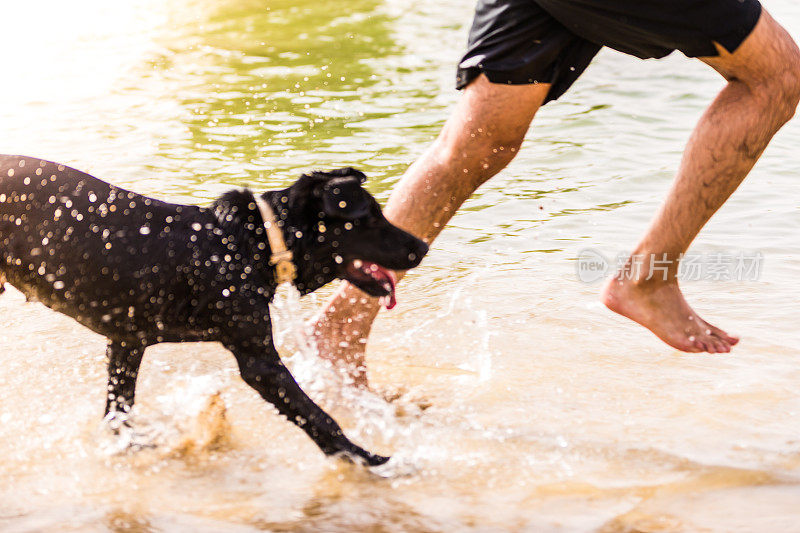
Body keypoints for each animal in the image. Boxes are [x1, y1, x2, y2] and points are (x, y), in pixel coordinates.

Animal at [0, 155, 428, 466]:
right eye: (369, 217)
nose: (422, 247)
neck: (254, 241)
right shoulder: (260, 362)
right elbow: (319, 417)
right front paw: (369, 459)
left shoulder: (126, 343)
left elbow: (117, 410)